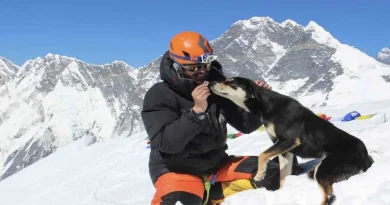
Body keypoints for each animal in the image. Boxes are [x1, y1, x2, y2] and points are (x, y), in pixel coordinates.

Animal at [210, 76, 374, 205]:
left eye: (231, 82)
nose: (211, 82)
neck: (266, 105)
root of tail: (365, 155)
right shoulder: (285, 151)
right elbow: (283, 177)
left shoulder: (288, 140)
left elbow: (263, 155)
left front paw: (260, 174)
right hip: (317, 171)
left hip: (323, 169)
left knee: (329, 197)